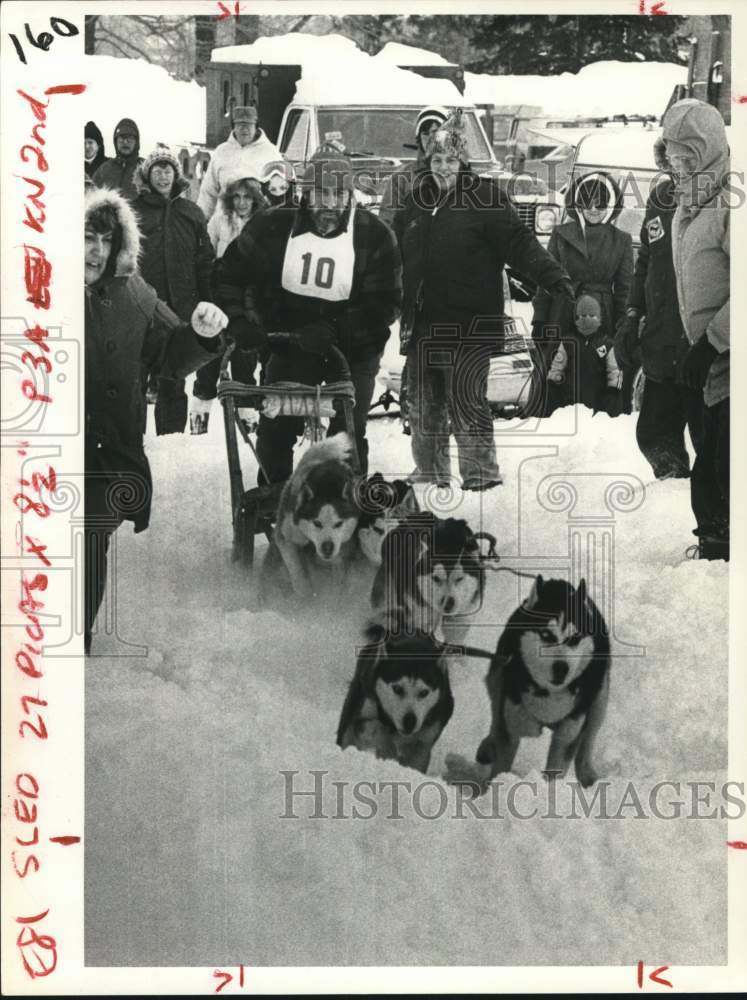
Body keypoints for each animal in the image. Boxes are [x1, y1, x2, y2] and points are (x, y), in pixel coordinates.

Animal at [260, 432, 360, 600]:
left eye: (339, 523)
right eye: (317, 523)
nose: (327, 547)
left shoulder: (342, 550)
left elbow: (338, 582)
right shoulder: (288, 536)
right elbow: (297, 570)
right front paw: (305, 594)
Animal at [338, 624, 456, 772]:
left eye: (424, 692)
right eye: (397, 688)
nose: (410, 721)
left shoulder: (426, 739)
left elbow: (418, 759)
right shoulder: (363, 719)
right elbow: (379, 728)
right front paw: (389, 752)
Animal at [448, 576, 612, 792]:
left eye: (575, 638)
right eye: (546, 635)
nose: (562, 667)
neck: (549, 693)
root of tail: (559, 583)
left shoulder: (567, 733)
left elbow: (559, 763)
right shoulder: (513, 720)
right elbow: (505, 751)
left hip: (599, 699)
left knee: (589, 736)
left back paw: (587, 772)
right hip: (498, 676)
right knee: (496, 716)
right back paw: (488, 745)